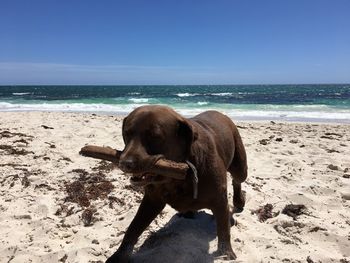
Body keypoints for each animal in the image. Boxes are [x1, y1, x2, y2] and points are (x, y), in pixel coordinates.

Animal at [106, 106, 246, 262]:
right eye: (127, 133)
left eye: (155, 136)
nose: (124, 163)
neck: (179, 176)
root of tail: (219, 112)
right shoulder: (152, 200)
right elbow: (133, 228)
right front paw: (119, 255)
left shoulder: (219, 200)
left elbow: (223, 229)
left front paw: (226, 253)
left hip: (240, 166)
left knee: (237, 180)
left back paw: (238, 201)